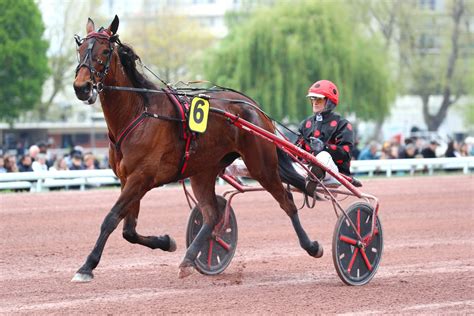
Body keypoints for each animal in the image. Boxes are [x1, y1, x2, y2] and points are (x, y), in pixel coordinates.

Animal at [71, 15, 322, 282]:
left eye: (105, 51)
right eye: (80, 49)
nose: (81, 87)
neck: (139, 112)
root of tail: (254, 106)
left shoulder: (140, 177)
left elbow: (110, 219)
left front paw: (86, 266)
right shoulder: (127, 179)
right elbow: (128, 230)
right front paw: (166, 241)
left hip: (261, 165)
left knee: (286, 200)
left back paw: (312, 246)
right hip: (204, 170)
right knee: (212, 215)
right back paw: (189, 259)